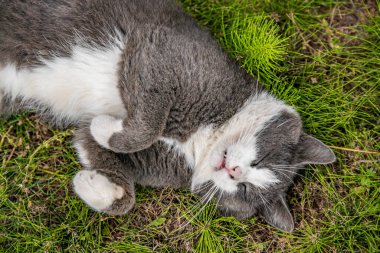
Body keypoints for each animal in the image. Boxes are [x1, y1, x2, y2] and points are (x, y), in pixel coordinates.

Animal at [0, 0, 334, 231]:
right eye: (261, 161)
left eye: (244, 191)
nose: (234, 172)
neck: (203, 141)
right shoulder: (161, 50)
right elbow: (148, 124)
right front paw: (107, 129)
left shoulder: (152, 160)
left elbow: (104, 160)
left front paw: (95, 183)